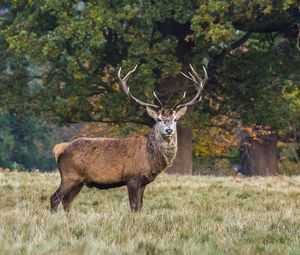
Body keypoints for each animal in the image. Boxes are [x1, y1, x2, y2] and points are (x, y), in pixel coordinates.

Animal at [50, 64, 207, 213]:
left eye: (175, 119)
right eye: (159, 119)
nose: (169, 130)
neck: (150, 157)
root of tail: (60, 150)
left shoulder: (144, 182)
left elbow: (140, 207)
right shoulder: (132, 177)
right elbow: (133, 206)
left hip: (80, 181)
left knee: (67, 201)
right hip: (69, 176)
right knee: (55, 198)